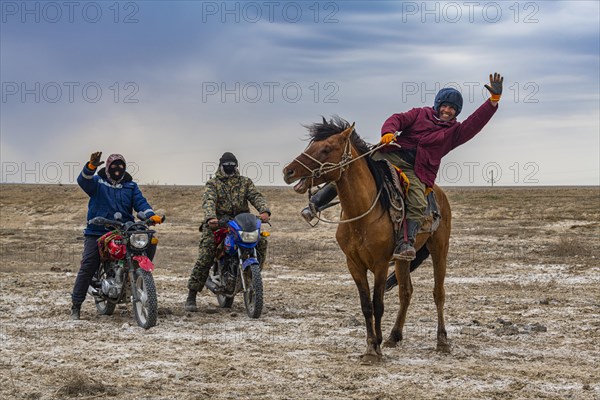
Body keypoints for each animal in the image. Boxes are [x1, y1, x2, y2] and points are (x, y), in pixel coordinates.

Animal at [284, 116, 452, 362]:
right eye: (312, 145)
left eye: (326, 148)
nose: (288, 171)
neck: (361, 215)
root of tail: (438, 193)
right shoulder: (354, 263)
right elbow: (366, 305)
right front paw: (372, 344)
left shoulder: (380, 264)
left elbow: (378, 303)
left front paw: (376, 348)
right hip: (402, 258)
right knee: (406, 292)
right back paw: (394, 336)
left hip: (439, 247)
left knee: (438, 293)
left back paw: (442, 340)